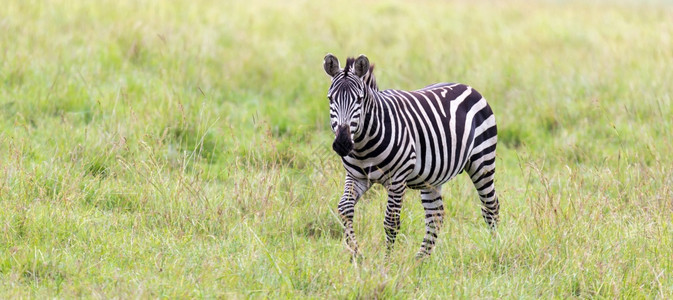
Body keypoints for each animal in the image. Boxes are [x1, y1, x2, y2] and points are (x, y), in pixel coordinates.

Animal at [322, 53, 502, 258]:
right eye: (330, 99)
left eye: (359, 100)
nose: (342, 143)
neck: (363, 146)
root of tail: (466, 86)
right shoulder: (356, 177)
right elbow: (345, 209)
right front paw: (356, 254)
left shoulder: (397, 180)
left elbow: (391, 222)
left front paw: (387, 261)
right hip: (432, 177)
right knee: (435, 216)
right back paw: (420, 260)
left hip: (483, 162)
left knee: (491, 208)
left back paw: (494, 248)